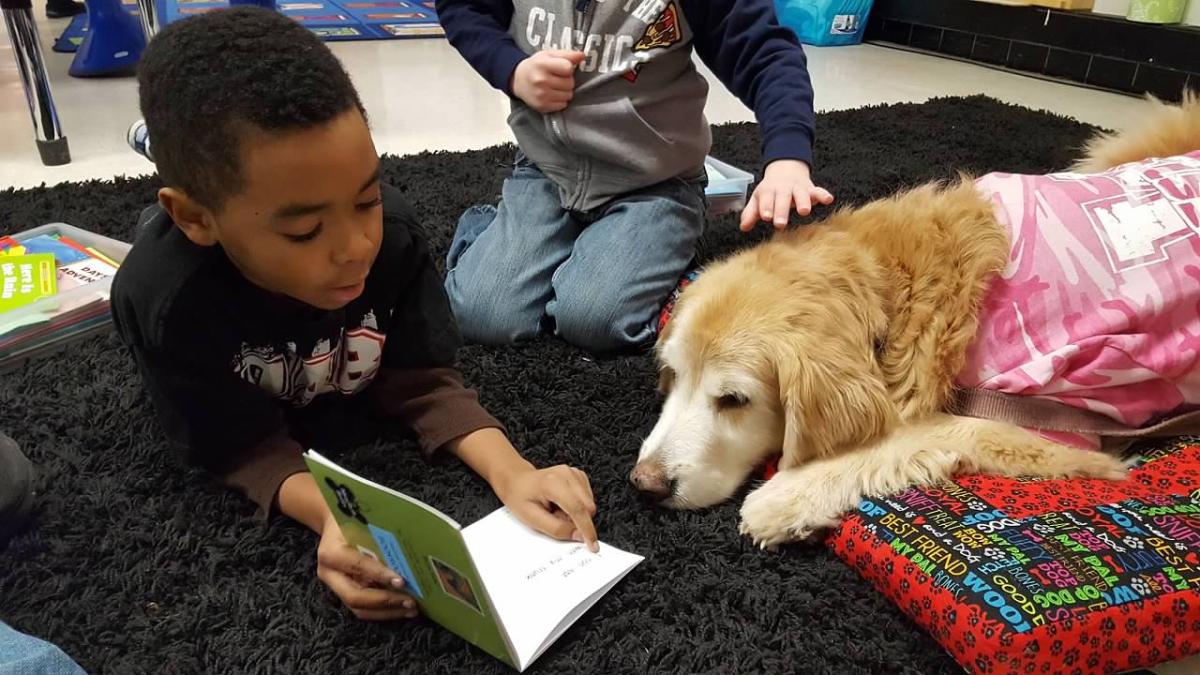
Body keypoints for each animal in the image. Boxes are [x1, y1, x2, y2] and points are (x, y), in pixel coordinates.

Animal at [628, 93, 1200, 547]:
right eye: (673, 376)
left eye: (734, 400)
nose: (645, 483)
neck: (891, 297)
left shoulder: (1058, 427)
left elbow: (913, 434)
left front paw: (789, 495)